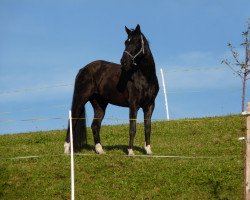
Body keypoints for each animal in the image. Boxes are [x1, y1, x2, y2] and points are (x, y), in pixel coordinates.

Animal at [64, 25, 158, 155]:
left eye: (136, 42)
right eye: (126, 42)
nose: (123, 62)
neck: (145, 78)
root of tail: (83, 69)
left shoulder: (149, 105)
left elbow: (148, 128)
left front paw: (148, 150)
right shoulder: (133, 105)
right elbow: (132, 128)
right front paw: (130, 152)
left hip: (99, 104)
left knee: (95, 125)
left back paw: (100, 150)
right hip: (80, 98)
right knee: (72, 120)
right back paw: (66, 149)